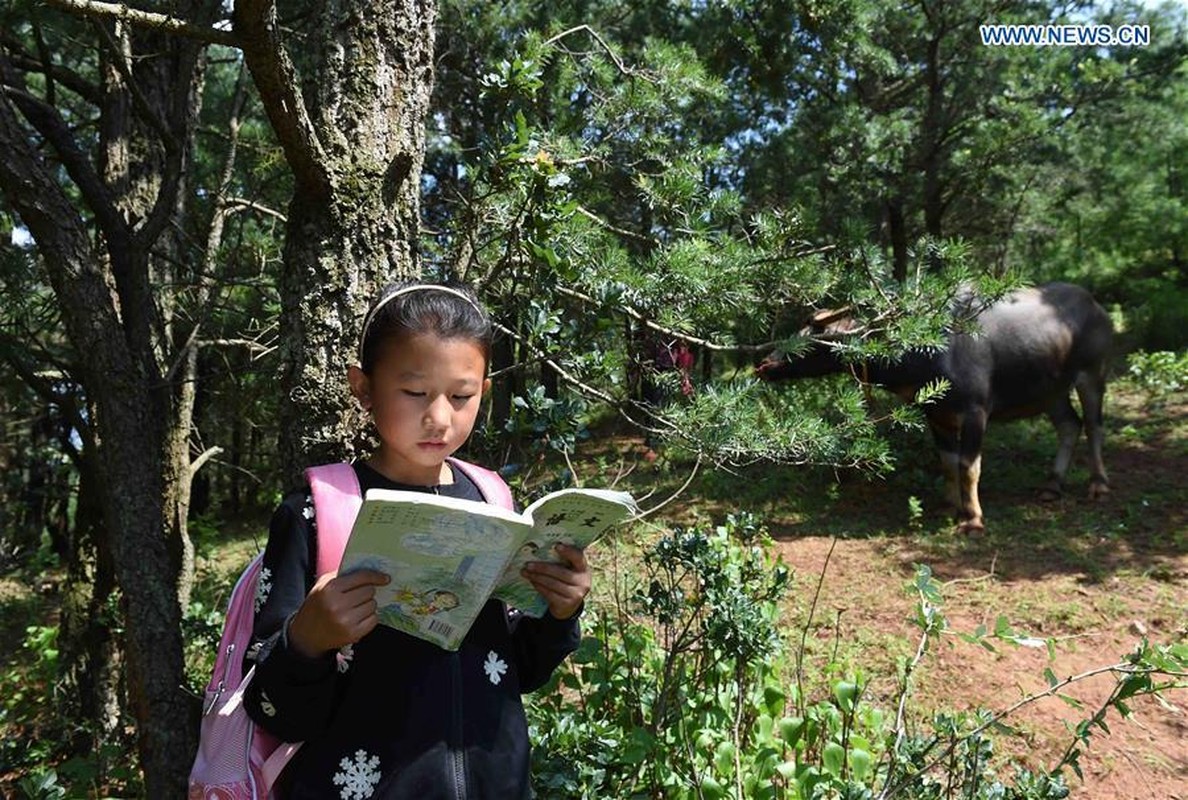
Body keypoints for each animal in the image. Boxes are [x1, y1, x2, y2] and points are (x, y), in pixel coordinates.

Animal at [760, 280, 1111, 530]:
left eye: (814, 337)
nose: (764, 364)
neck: (926, 349)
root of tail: (1095, 306)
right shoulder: (936, 415)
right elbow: (947, 463)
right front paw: (950, 507)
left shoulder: (976, 413)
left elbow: (969, 466)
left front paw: (972, 518)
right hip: (1051, 390)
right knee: (1070, 426)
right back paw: (1052, 486)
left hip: (1092, 375)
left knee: (1094, 427)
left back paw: (1098, 486)